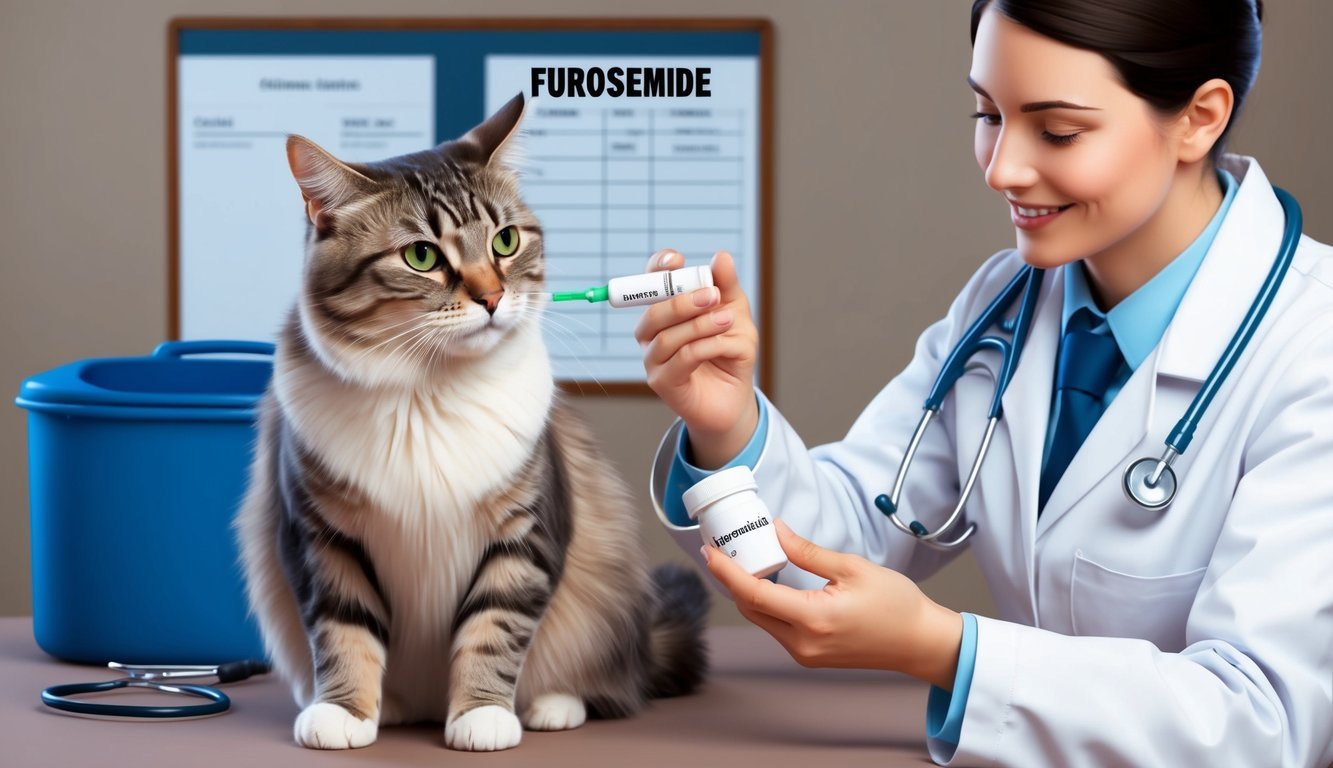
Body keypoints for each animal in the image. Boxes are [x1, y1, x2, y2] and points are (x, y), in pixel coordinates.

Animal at [235, 94, 709, 752]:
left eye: (506, 241)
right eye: (422, 256)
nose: (491, 297)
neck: (427, 396)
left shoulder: (525, 534)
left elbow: (494, 628)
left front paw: (482, 715)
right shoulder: (321, 538)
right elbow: (343, 632)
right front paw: (345, 712)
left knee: (603, 683)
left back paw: (551, 706)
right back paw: (388, 707)